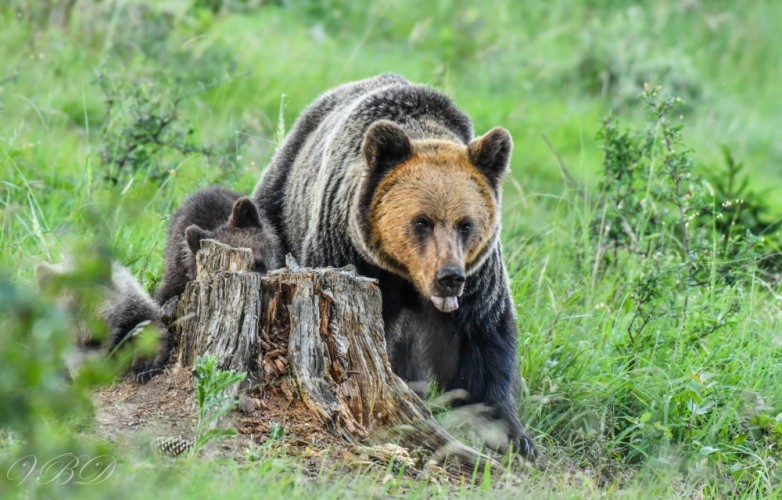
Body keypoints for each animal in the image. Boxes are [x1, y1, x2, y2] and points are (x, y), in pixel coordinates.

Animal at [254, 73, 536, 458]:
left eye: (465, 224)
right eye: (422, 222)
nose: (449, 277)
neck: (407, 277)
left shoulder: (478, 280)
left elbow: (481, 341)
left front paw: (513, 435)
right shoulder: (349, 258)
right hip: (281, 201)